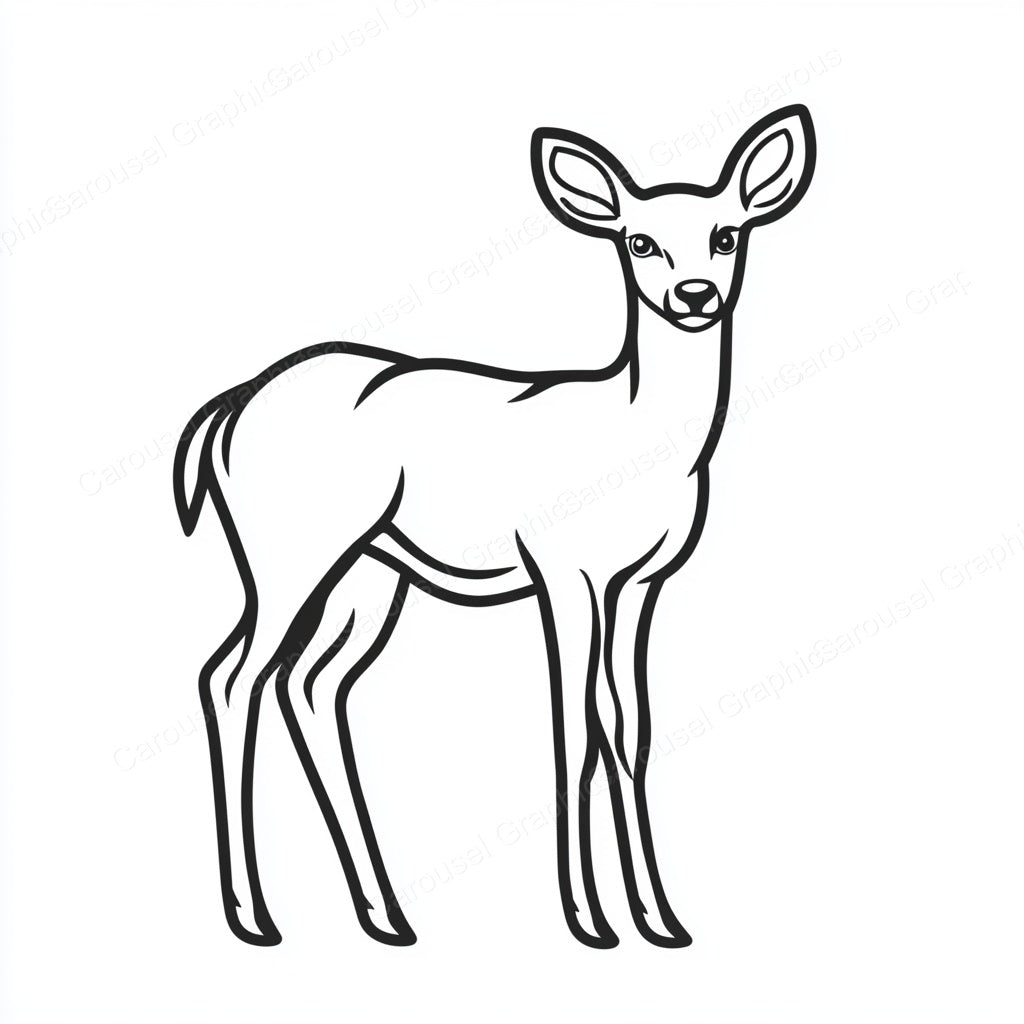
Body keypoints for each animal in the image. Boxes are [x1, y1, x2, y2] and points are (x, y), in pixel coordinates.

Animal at [173, 104, 816, 950]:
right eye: (639, 241)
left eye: (727, 233)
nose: (695, 295)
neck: (638, 438)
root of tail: (230, 408)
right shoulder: (563, 570)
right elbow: (574, 728)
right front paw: (589, 920)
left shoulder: (640, 582)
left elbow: (629, 727)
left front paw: (661, 919)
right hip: (288, 555)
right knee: (231, 676)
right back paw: (255, 917)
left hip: (367, 576)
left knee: (308, 685)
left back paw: (385, 917)